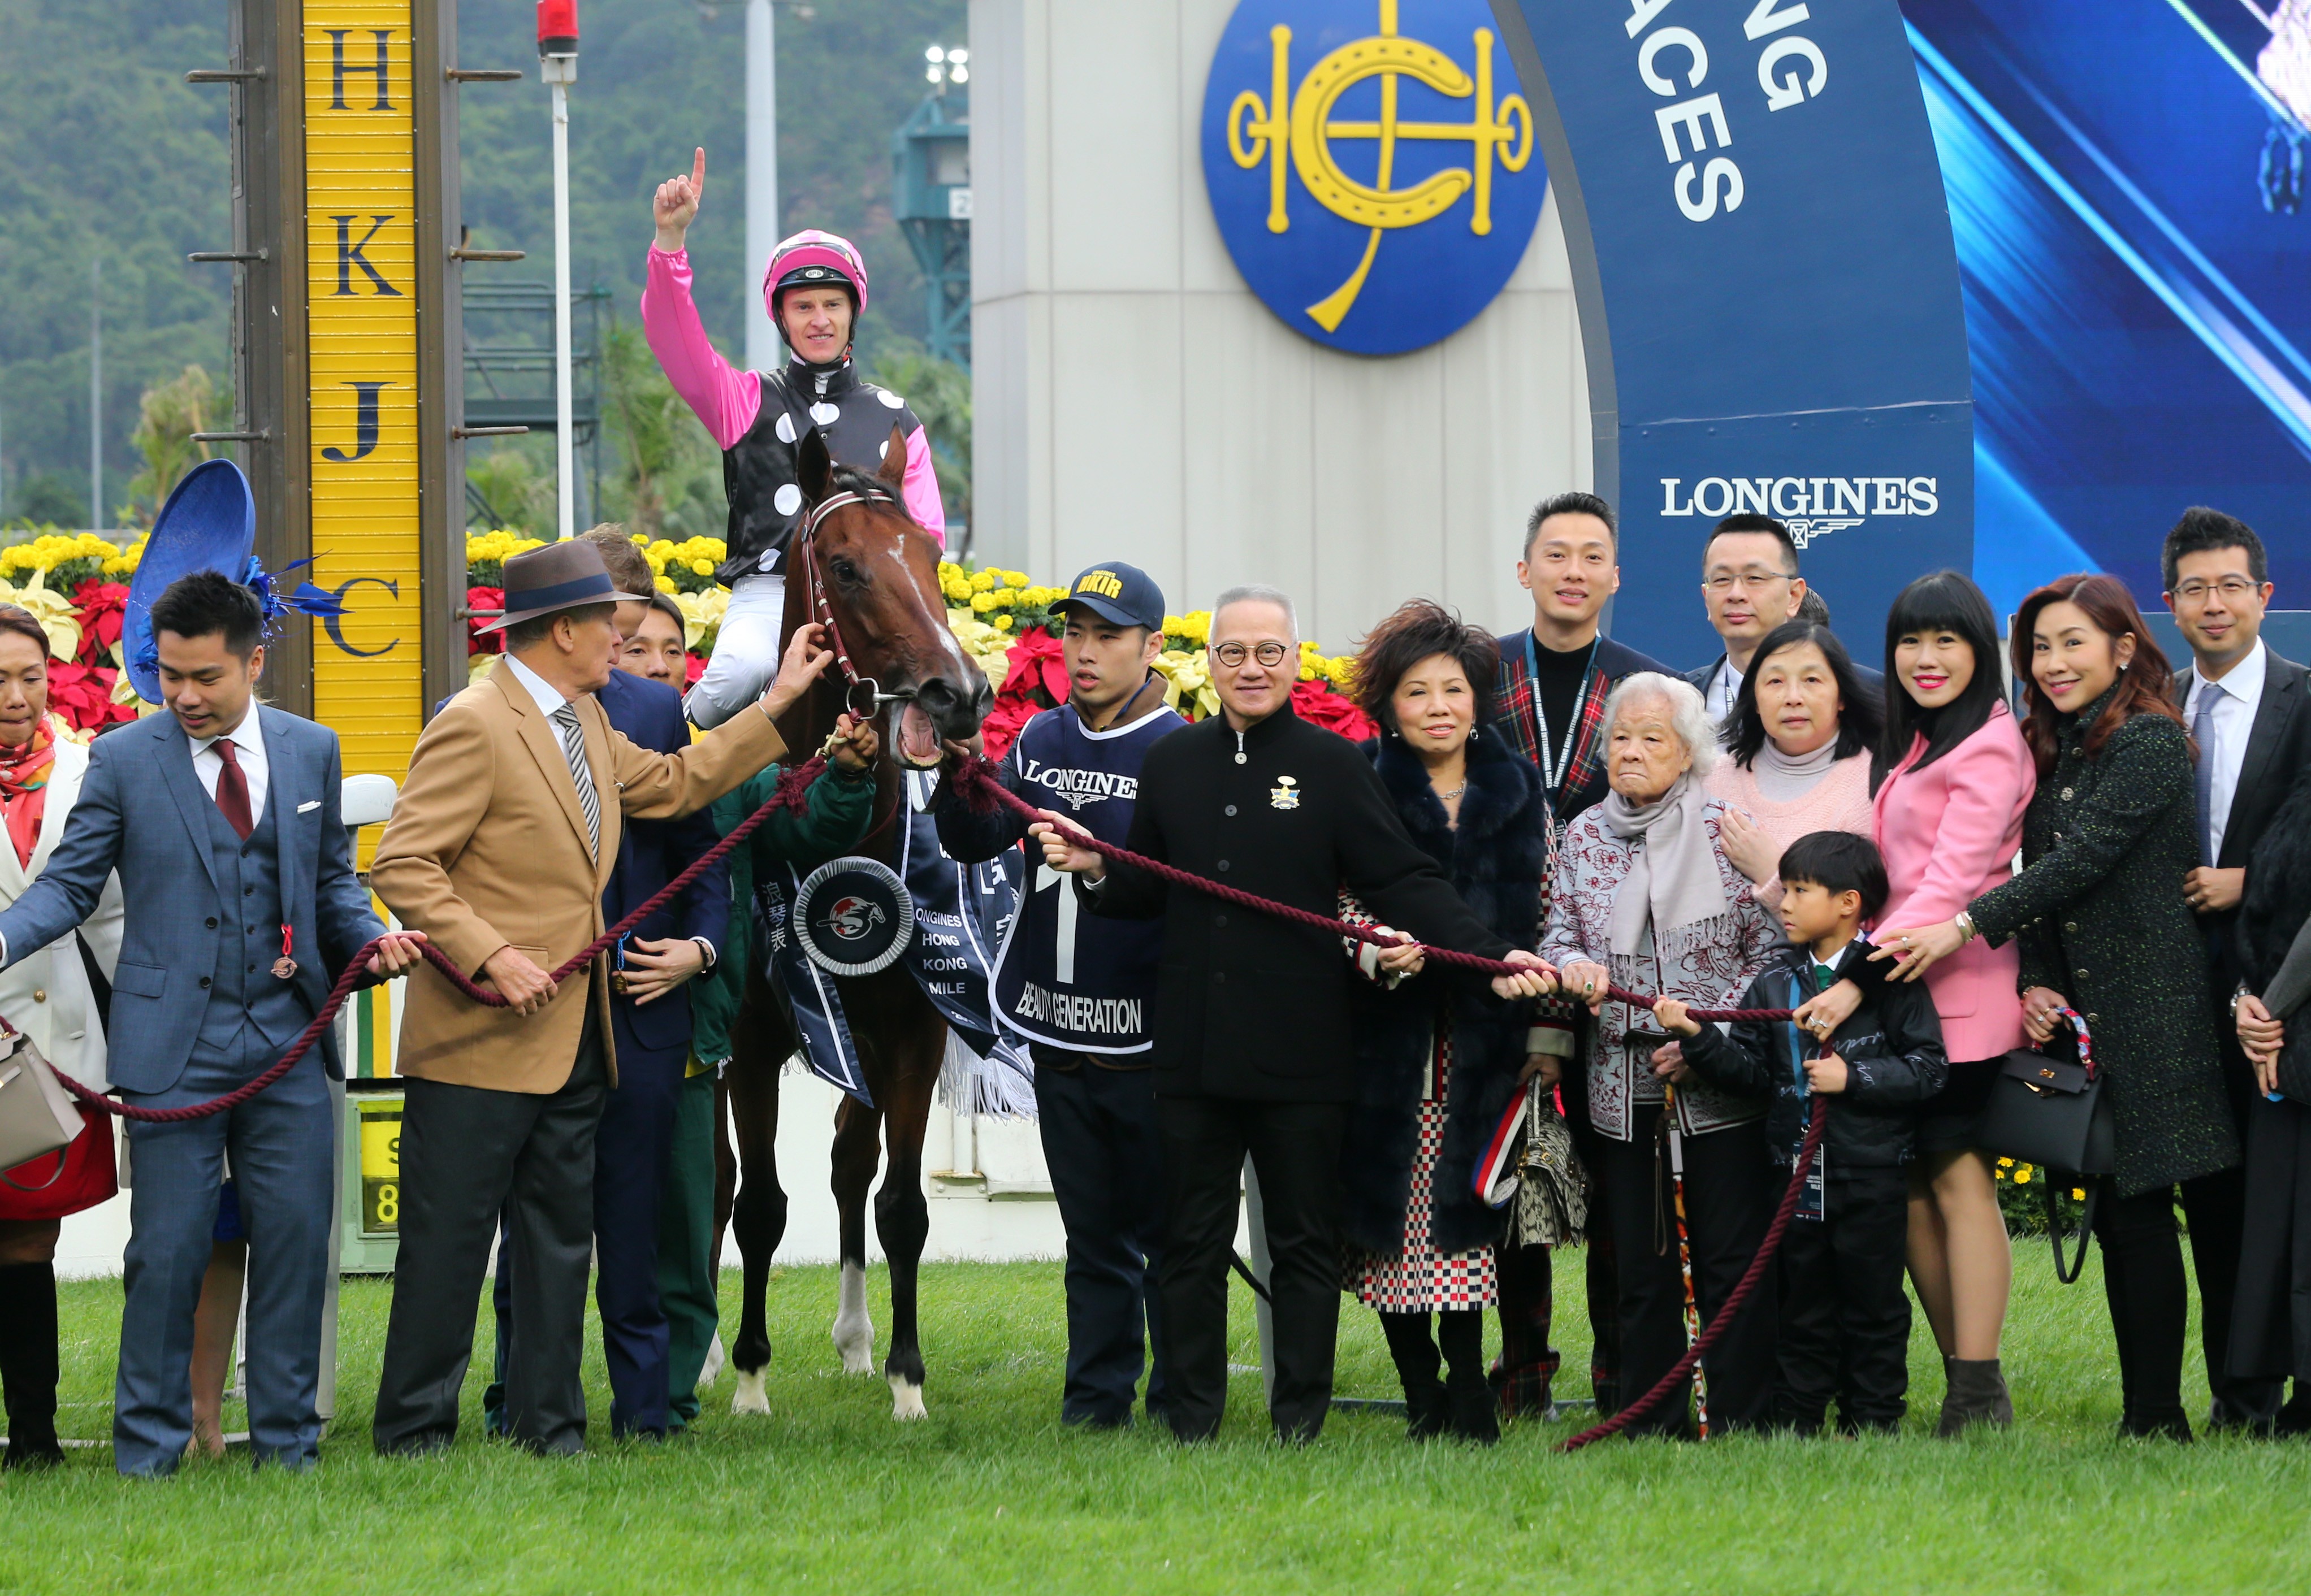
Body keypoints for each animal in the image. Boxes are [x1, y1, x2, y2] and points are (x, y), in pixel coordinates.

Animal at [712, 424, 984, 1422]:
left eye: (933, 558)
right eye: (844, 564)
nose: (960, 692)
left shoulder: (909, 1036)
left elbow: (900, 1203)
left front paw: (907, 1380)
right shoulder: (750, 1043)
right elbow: (758, 1205)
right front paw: (750, 1380)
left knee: (847, 1161)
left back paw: (857, 1342)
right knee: (722, 1184)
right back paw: (705, 1358)